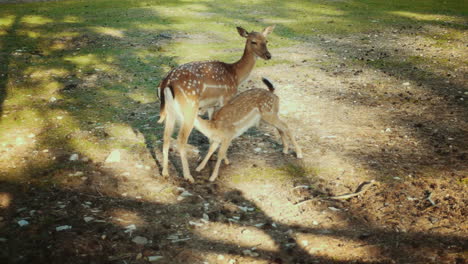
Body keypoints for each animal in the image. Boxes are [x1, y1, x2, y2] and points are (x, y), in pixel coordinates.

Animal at [157, 25, 274, 182]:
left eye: (266, 40)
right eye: (253, 41)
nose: (268, 55)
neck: (236, 75)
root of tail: (166, 83)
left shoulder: (211, 105)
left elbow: (211, 130)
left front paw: (210, 158)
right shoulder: (226, 97)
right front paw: (225, 160)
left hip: (170, 110)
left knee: (165, 137)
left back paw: (165, 172)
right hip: (190, 107)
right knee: (181, 139)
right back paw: (188, 176)